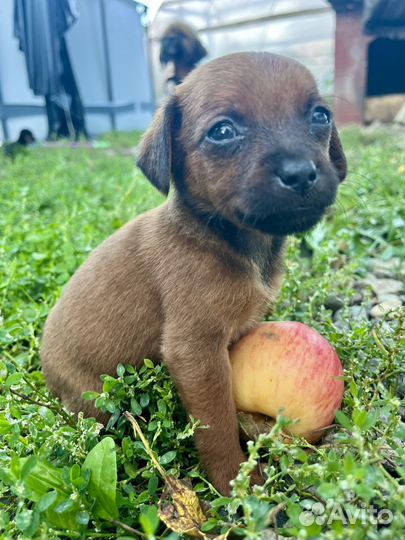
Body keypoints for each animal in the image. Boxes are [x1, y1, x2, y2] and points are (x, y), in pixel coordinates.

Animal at [41, 52, 346, 496]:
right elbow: (217, 427)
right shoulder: (196, 353)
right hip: (95, 402)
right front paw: (236, 484)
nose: (301, 173)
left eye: (320, 115)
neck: (227, 239)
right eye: (223, 131)